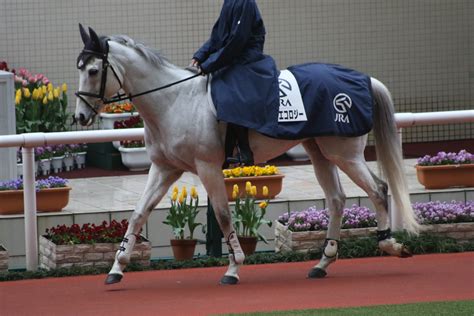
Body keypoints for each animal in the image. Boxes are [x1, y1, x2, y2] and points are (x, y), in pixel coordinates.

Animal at [74, 25, 418, 286]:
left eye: (93, 70)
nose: (80, 117)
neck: (174, 100)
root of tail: (363, 79)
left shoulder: (207, 168)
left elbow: (223, 215)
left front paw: (234, 266)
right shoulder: (164, 169)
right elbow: (137, 214)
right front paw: (117, 267)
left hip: (344, 154)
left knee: (378, 189)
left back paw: (390, 243)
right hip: (320, 152)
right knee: (336, 199)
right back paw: (323, 262)